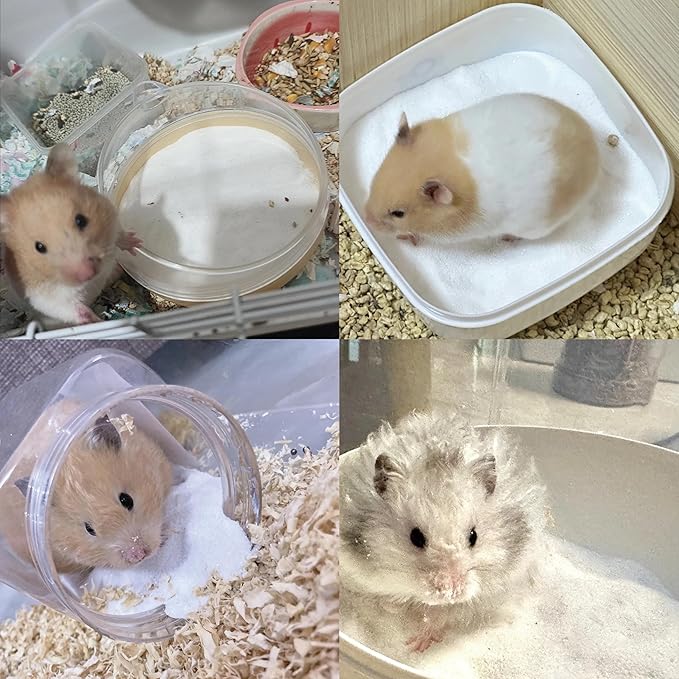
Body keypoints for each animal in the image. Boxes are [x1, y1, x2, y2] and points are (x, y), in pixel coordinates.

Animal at [0, 144, 142, 327]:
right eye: (39, 247)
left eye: (81, 220)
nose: (88, 274)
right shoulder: (43, 297)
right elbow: (69, 308)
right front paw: (94, 320)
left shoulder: (110, 215)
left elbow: (119, 235)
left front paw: (136, 243)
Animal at [340, 411, 546, 653]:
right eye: (416, 537)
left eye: (473, 536)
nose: (451, 593)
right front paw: (398, 619)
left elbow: (440, 615)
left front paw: (418, 644)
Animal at [364, 94, 600, 246]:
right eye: (374, 180)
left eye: (398, 213)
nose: (367, 221)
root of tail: (594, 147)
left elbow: (417, 234)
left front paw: (407, 237)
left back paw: (508, 238)